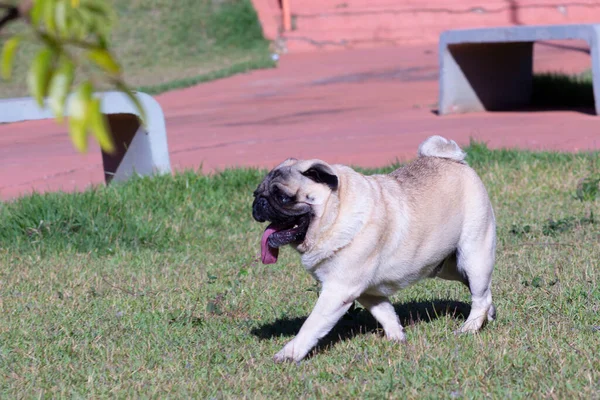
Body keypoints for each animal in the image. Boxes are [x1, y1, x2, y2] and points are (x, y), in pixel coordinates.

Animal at [251, 135, 494, 362]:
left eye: (283, 197)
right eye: (256, 193)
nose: (259, 203)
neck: (335, 214)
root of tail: (453, 161)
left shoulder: (338, 290)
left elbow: (311, 325)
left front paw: (289, 354)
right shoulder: (367, 291)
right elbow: (386, 314)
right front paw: (397, 338)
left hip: (473, 257)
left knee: (479, 297)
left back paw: (469, 328)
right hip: (448, 267)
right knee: (482, 293)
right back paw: (487, 316)